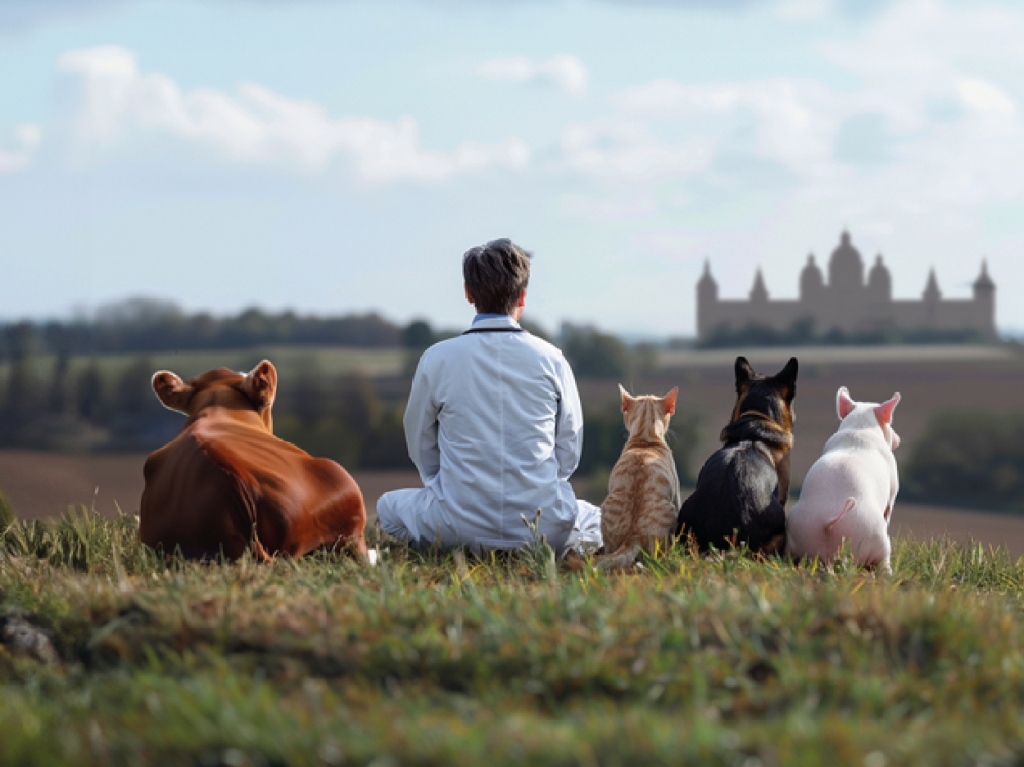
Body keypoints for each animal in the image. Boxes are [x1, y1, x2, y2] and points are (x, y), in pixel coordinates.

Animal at [786, 389, 901, 569]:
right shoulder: (893, 489)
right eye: (889, 424)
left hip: (797, 529)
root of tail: (829, 520)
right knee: (880, 558)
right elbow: (888, 510)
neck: (859, 428)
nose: (898, 439)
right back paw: (888, 570)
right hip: (874, 534)